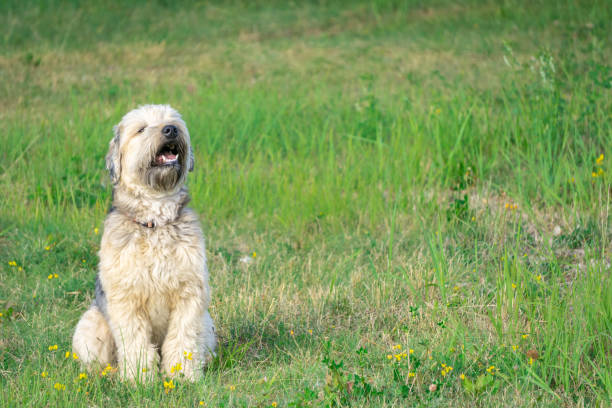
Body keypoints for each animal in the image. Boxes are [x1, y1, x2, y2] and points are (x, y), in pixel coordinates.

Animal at [72, 103, 215, 380]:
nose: (171, 130)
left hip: (208, 323)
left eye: (173, 121)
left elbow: (183, 338)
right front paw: (139, 379)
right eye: (141, 129)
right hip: (90, 325)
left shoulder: (190, 295)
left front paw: (182, 376)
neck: (155, 220)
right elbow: (135, 341)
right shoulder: (127, 299)